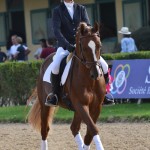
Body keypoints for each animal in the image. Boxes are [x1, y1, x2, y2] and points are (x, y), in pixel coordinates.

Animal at [28, 22, 105, 150]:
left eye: (99, 46)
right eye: (84, 48)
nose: (96, 74)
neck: (89, 81)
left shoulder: (96, 106)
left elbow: (89, 132)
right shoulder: (80, 104)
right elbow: (93, 129)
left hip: (77, 110)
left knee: (74, 128)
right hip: (45, 105)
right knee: (44, 130)